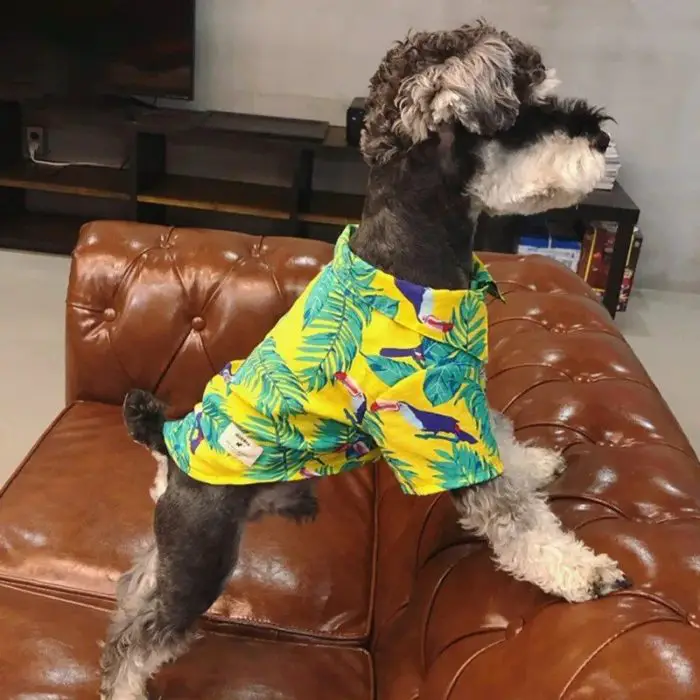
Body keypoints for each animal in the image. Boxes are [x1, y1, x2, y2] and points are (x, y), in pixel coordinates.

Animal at [101, 21, 632, 700]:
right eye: (525, 113)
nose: (603, 137)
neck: (412, 256)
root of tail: (166, 444)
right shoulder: (438, 437)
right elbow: (514, 519)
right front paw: (585, 571)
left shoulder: (467, 401)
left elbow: (504, 446)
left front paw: (535, 463)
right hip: (202, 555)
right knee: (141, 638)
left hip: (176, 549)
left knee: (134, 590)